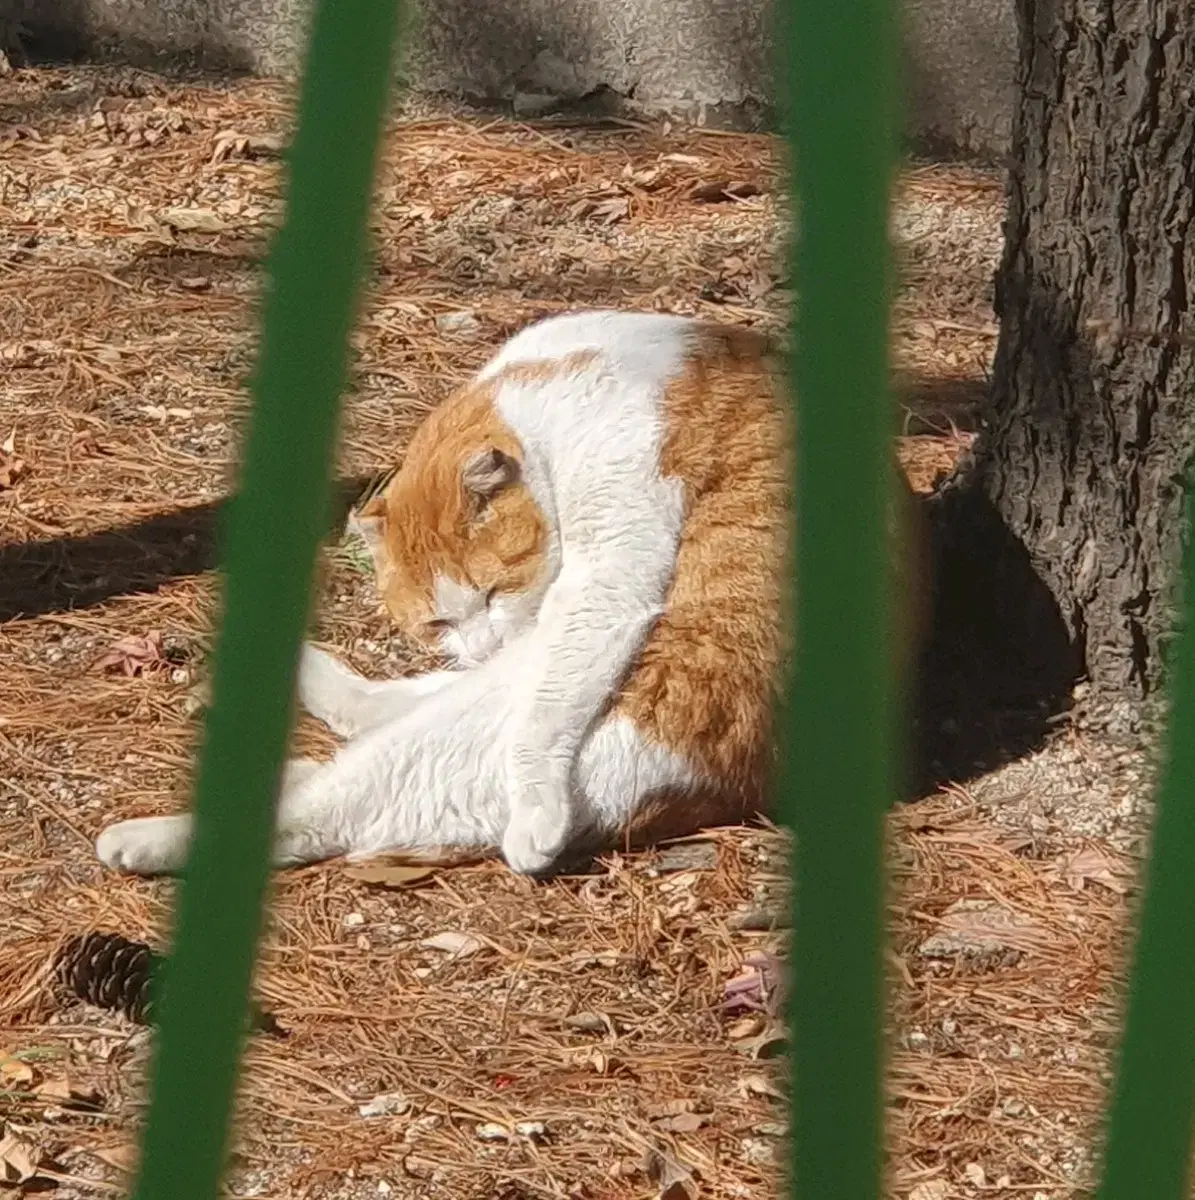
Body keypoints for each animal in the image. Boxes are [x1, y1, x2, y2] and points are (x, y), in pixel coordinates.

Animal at [100, 309, 926, 873]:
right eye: (436, 622)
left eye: (494, 592)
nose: (482, 638)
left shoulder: (602, 579)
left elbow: (540, 723)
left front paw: (536, 815)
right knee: (380, 720)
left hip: (507, 729)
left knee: (339, 799)